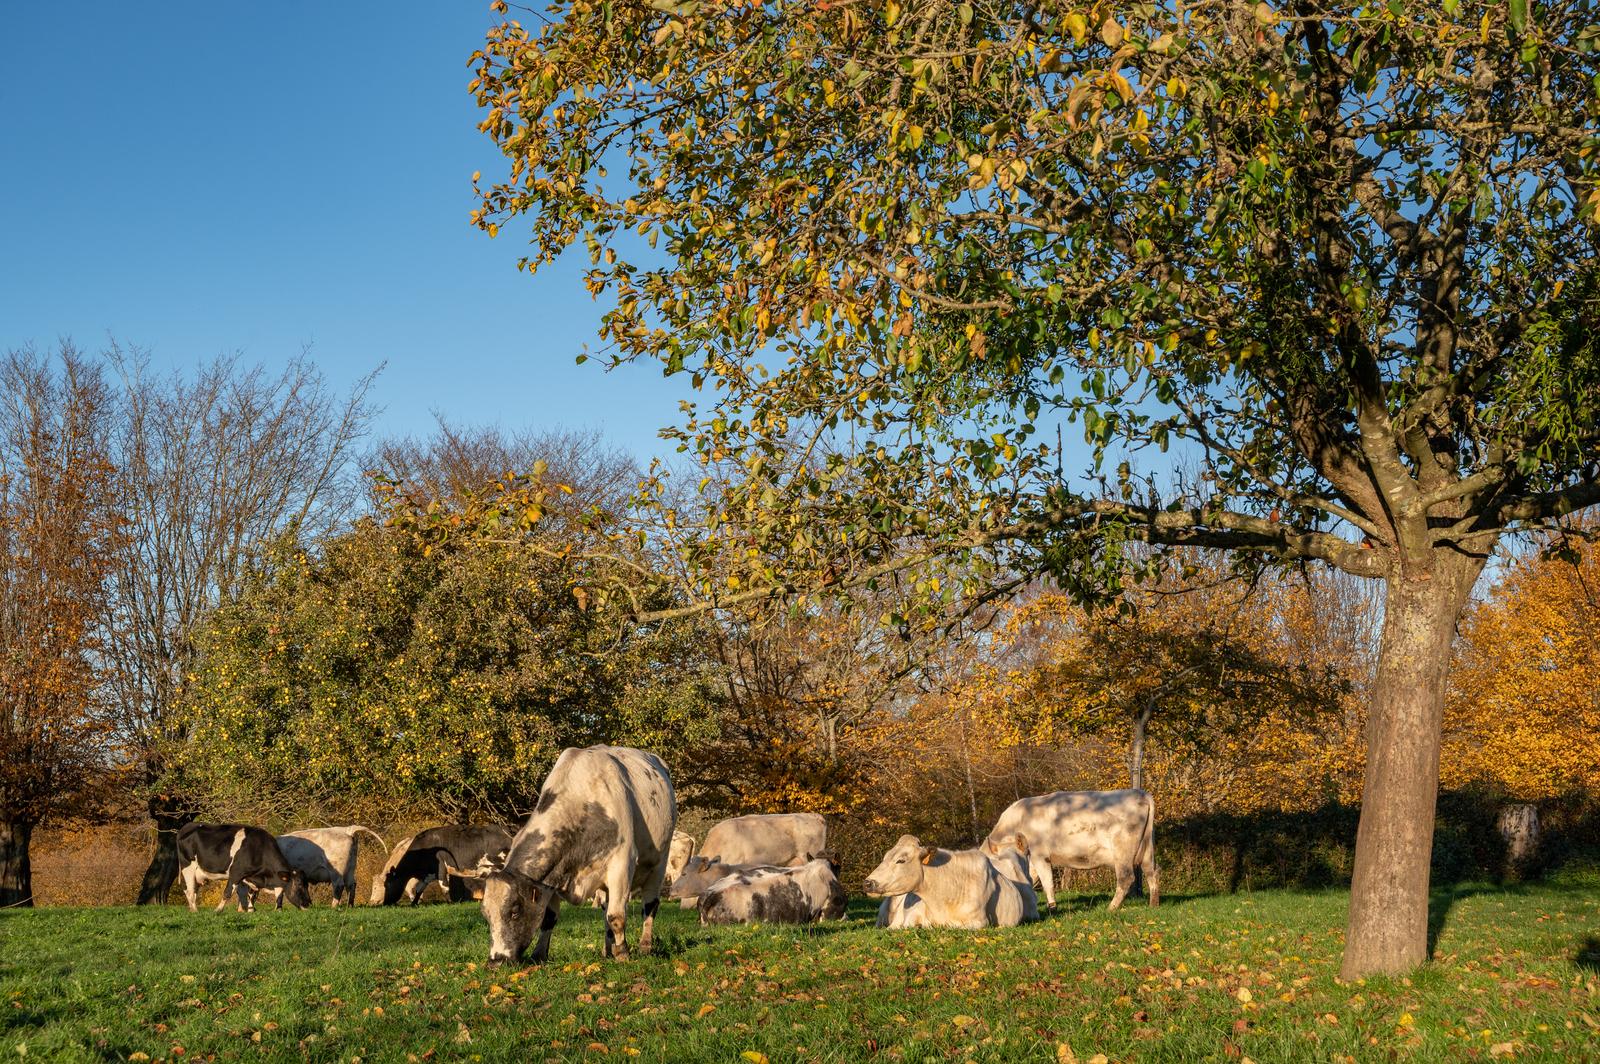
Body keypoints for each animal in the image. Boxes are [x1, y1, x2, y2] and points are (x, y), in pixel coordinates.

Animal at [176, 823, 312, 913]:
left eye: (307, 884)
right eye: (299, 884)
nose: (308, 904)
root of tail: (187, 826)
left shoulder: (251, 877)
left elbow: (252, 895)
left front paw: (248, 911)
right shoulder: (236, 872)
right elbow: (227, 892)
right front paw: (218, 910)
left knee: (191, 891)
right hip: (188, 867)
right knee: (190, 891)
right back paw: (195, 911)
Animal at [375, 825, 513, 906]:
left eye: (387, 884)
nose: (385, 903)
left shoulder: (441, 868)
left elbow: (444, 887)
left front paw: (450, 903)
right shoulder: (428, 874)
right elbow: (419, 889)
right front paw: (413, 904)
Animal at [479, 744, 676, 967]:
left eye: (515, 911)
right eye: (486, 914)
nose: (496, 961)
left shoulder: (621, 865)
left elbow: (617, 916)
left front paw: (623, 952)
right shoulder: (552, 878)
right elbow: (549, 917)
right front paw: (539, 954)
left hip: (658, 864)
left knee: (649, 905)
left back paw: (644, 946)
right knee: (605, 908)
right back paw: (607, 950)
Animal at [984, 788, 1159, 910]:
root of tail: (1140, 793)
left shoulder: (1040, 855)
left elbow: (1047, 882)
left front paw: (1052, 907)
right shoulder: (1032, 860)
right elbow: (1031, 879)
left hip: (1122, 850)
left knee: (1126, 877)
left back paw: (1111, 908)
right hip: (1147, 849)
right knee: (1152, 872)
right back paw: (1153, 904)